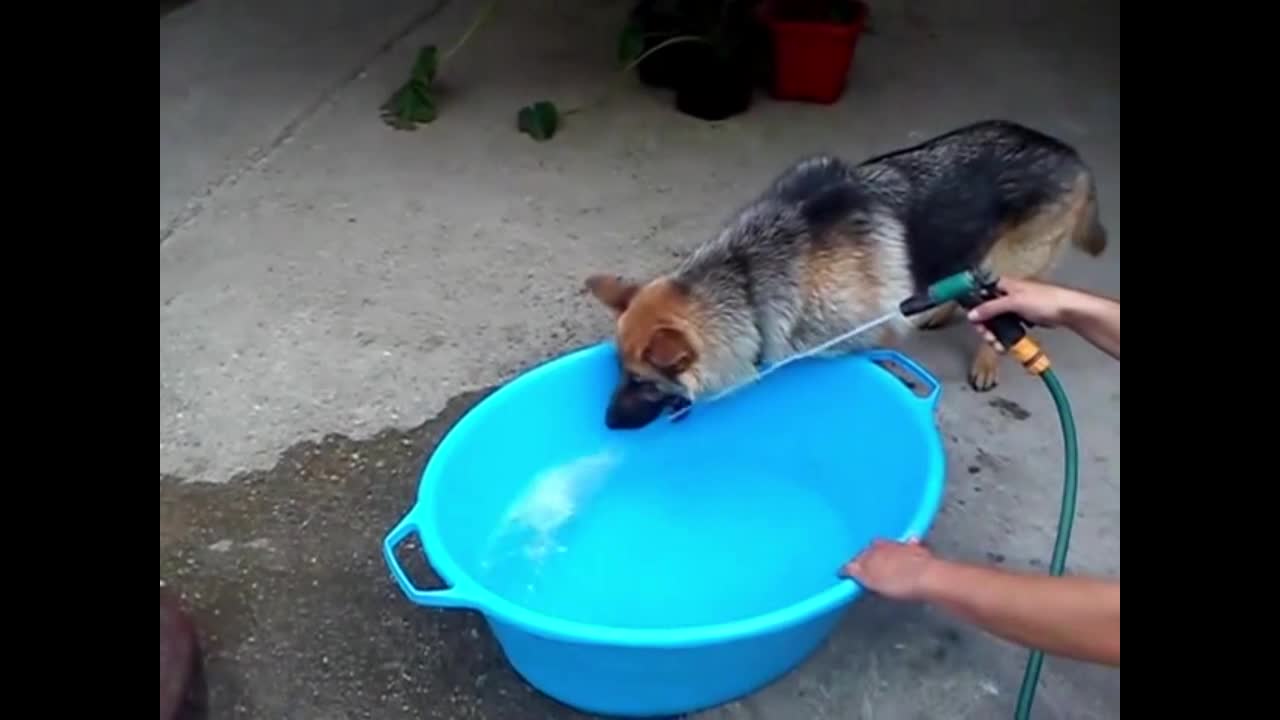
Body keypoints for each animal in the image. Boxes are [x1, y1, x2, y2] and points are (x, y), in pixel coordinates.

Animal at [586, 120, 1105, 427]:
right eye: (619, 372)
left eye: (644, 382)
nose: (607, 424)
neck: (747, 275)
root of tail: (1072, 155)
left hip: (1013, 266)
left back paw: (984, 359)